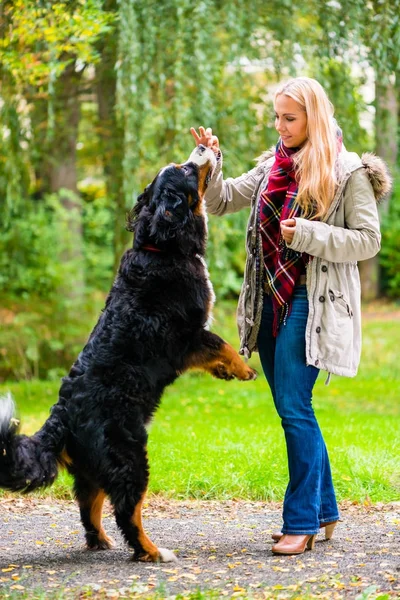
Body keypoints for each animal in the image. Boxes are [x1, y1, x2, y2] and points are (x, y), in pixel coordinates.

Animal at [0, 145, 256, 564]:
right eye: (187, 170)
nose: (204, 147)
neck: (161, 246)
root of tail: (63, 414)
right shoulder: (186, 336)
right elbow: (220, 343)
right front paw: (243, 369)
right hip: (129, 455)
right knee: (126, 511)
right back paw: (152, 551)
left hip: (94, 467)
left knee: (89, 506)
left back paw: (100, 541)